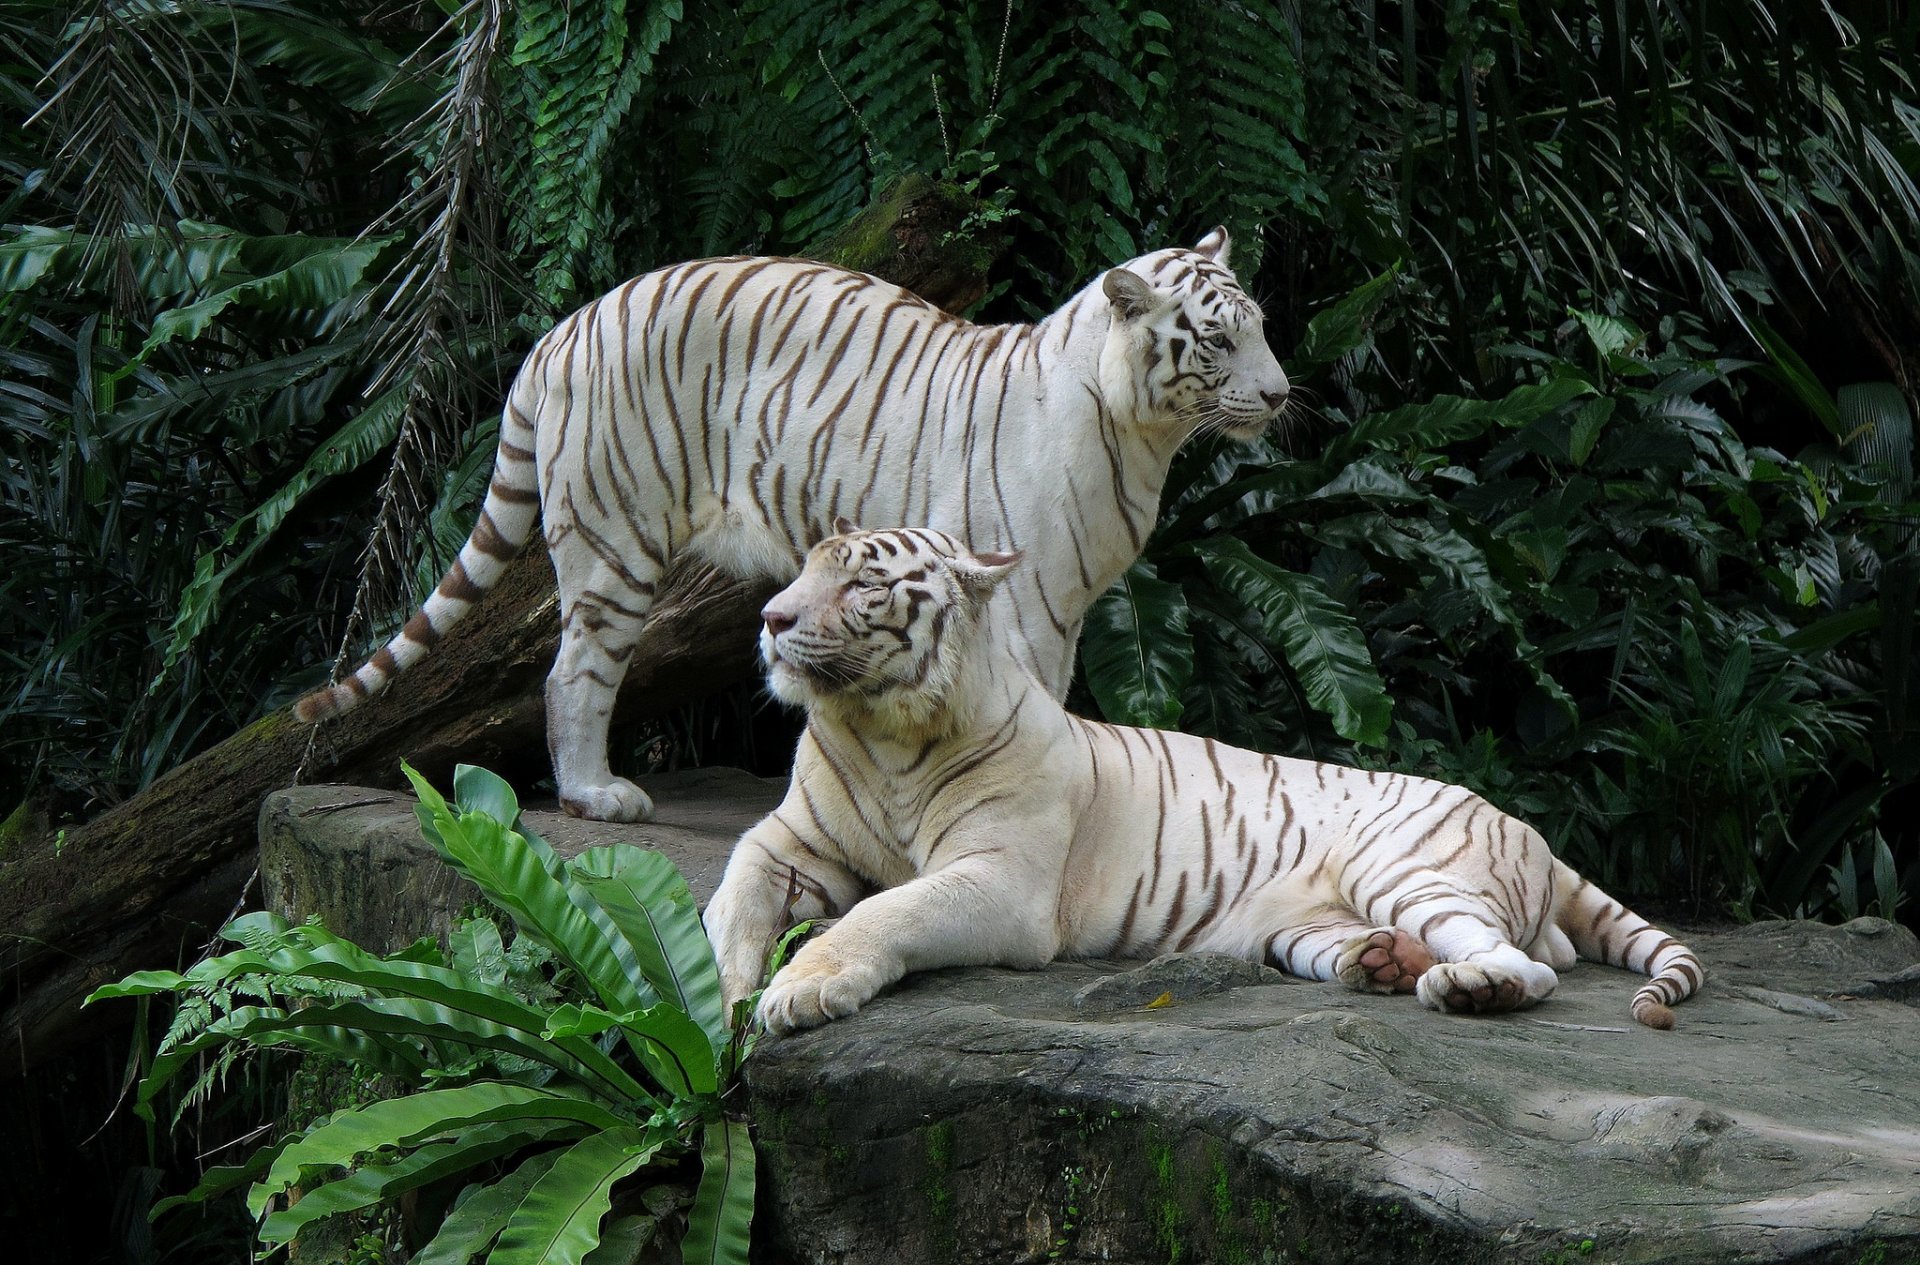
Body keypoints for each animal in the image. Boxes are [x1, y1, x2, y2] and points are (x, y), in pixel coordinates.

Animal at [294, 230, 1290, 823]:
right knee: (573, 673)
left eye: (1262, 327)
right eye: (1216, 339)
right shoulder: (1026, 596)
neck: (1145, 436)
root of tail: (562, 329)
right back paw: (596, 795)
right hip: (617, 542)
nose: (1282, 394)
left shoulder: (1071, 602)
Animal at [702, 524, 1705, 1034]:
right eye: (803, 568)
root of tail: (1532, 832)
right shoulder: (788, 839)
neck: (884, 733)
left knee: (1534, 964)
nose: (771, 618)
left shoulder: (1002, 881)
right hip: (1301, 929)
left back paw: (1468, 988)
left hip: (1408, 865)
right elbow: (731, 896)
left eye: (862, 585)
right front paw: (726, 995)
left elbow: (885, 909)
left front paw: (800, 989)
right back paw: (1383, 963)